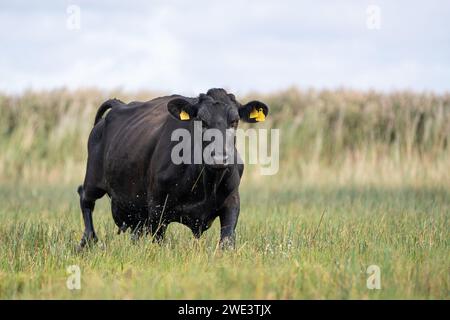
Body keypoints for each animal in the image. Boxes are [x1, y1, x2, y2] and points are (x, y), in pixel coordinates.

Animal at [77, 89, 268, 249]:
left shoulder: (232, 201)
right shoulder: (157, 208)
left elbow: (227, 241)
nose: (219, 158)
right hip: (93, 179)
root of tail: (119, 105)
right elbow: (159, 241)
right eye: (201, 121)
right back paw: (87, 240)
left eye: (234, 121)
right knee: (85, 198)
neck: (206, 183)